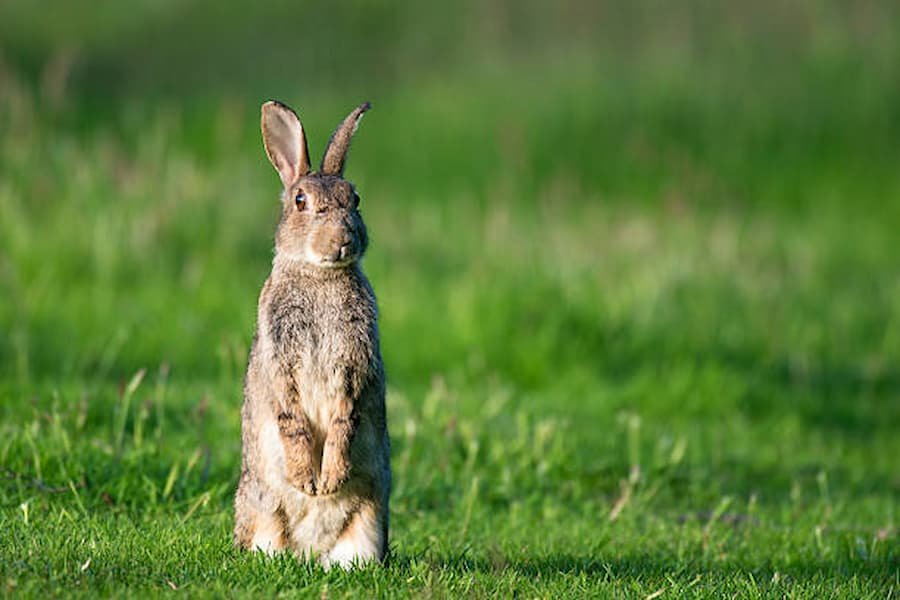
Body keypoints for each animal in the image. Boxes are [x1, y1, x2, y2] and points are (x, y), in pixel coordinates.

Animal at [234, 98, 388, 568]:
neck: (319, 274)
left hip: (370, 520)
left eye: (355, 198)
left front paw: (330, 478)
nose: (343, 239)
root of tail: (311, 550)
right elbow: (292, 419)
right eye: (301, 200)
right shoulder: (281, 360)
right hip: (261, 511)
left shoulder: (353, 365)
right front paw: (307, 480)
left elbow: (344, 418)